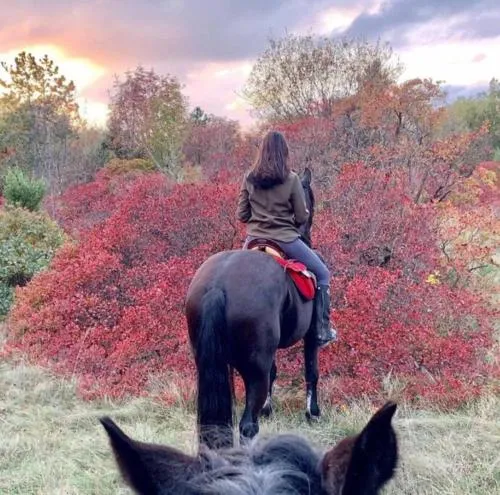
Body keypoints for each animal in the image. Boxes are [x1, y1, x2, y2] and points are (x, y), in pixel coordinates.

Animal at [185, 168, 324, 449]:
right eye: (310, 198)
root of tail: (218, 285)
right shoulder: (310, 336)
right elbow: (311, 370)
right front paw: (312, 412)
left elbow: (275, 372)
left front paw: (269, 409)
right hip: (253, 368)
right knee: (248, 426)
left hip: (211, 363)